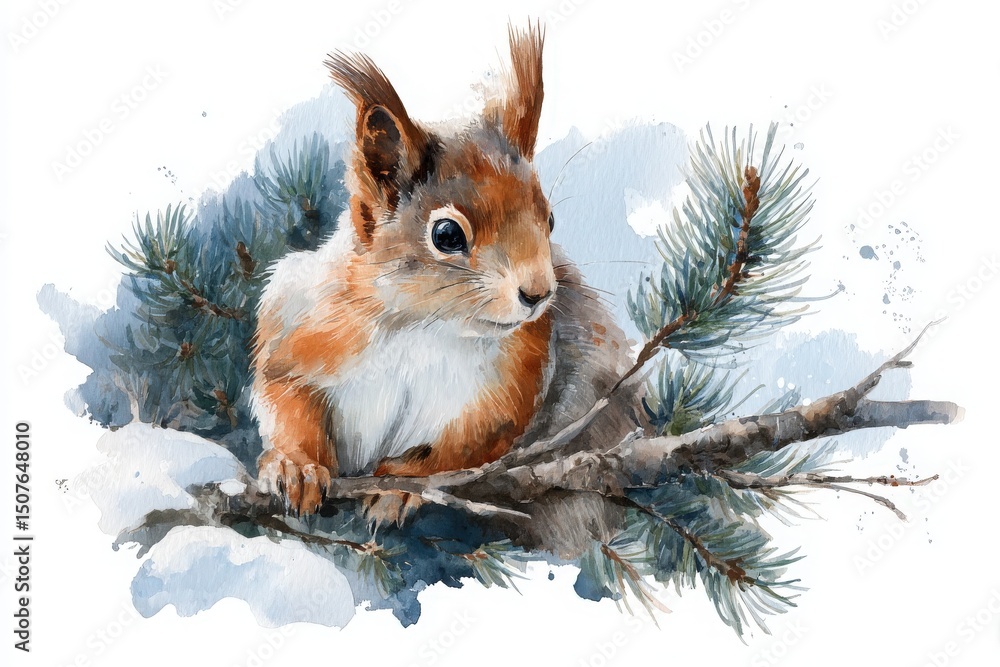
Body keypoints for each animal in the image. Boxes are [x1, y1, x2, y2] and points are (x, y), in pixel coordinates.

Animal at [250, 24, 633, 524]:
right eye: (447, 234)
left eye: (549, 220)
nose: (539, 294)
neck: (420, 327)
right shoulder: (296, 325)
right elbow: (284, 396)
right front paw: (295, 465)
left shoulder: (509, 398)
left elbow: (458, 452)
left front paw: (400, 485)